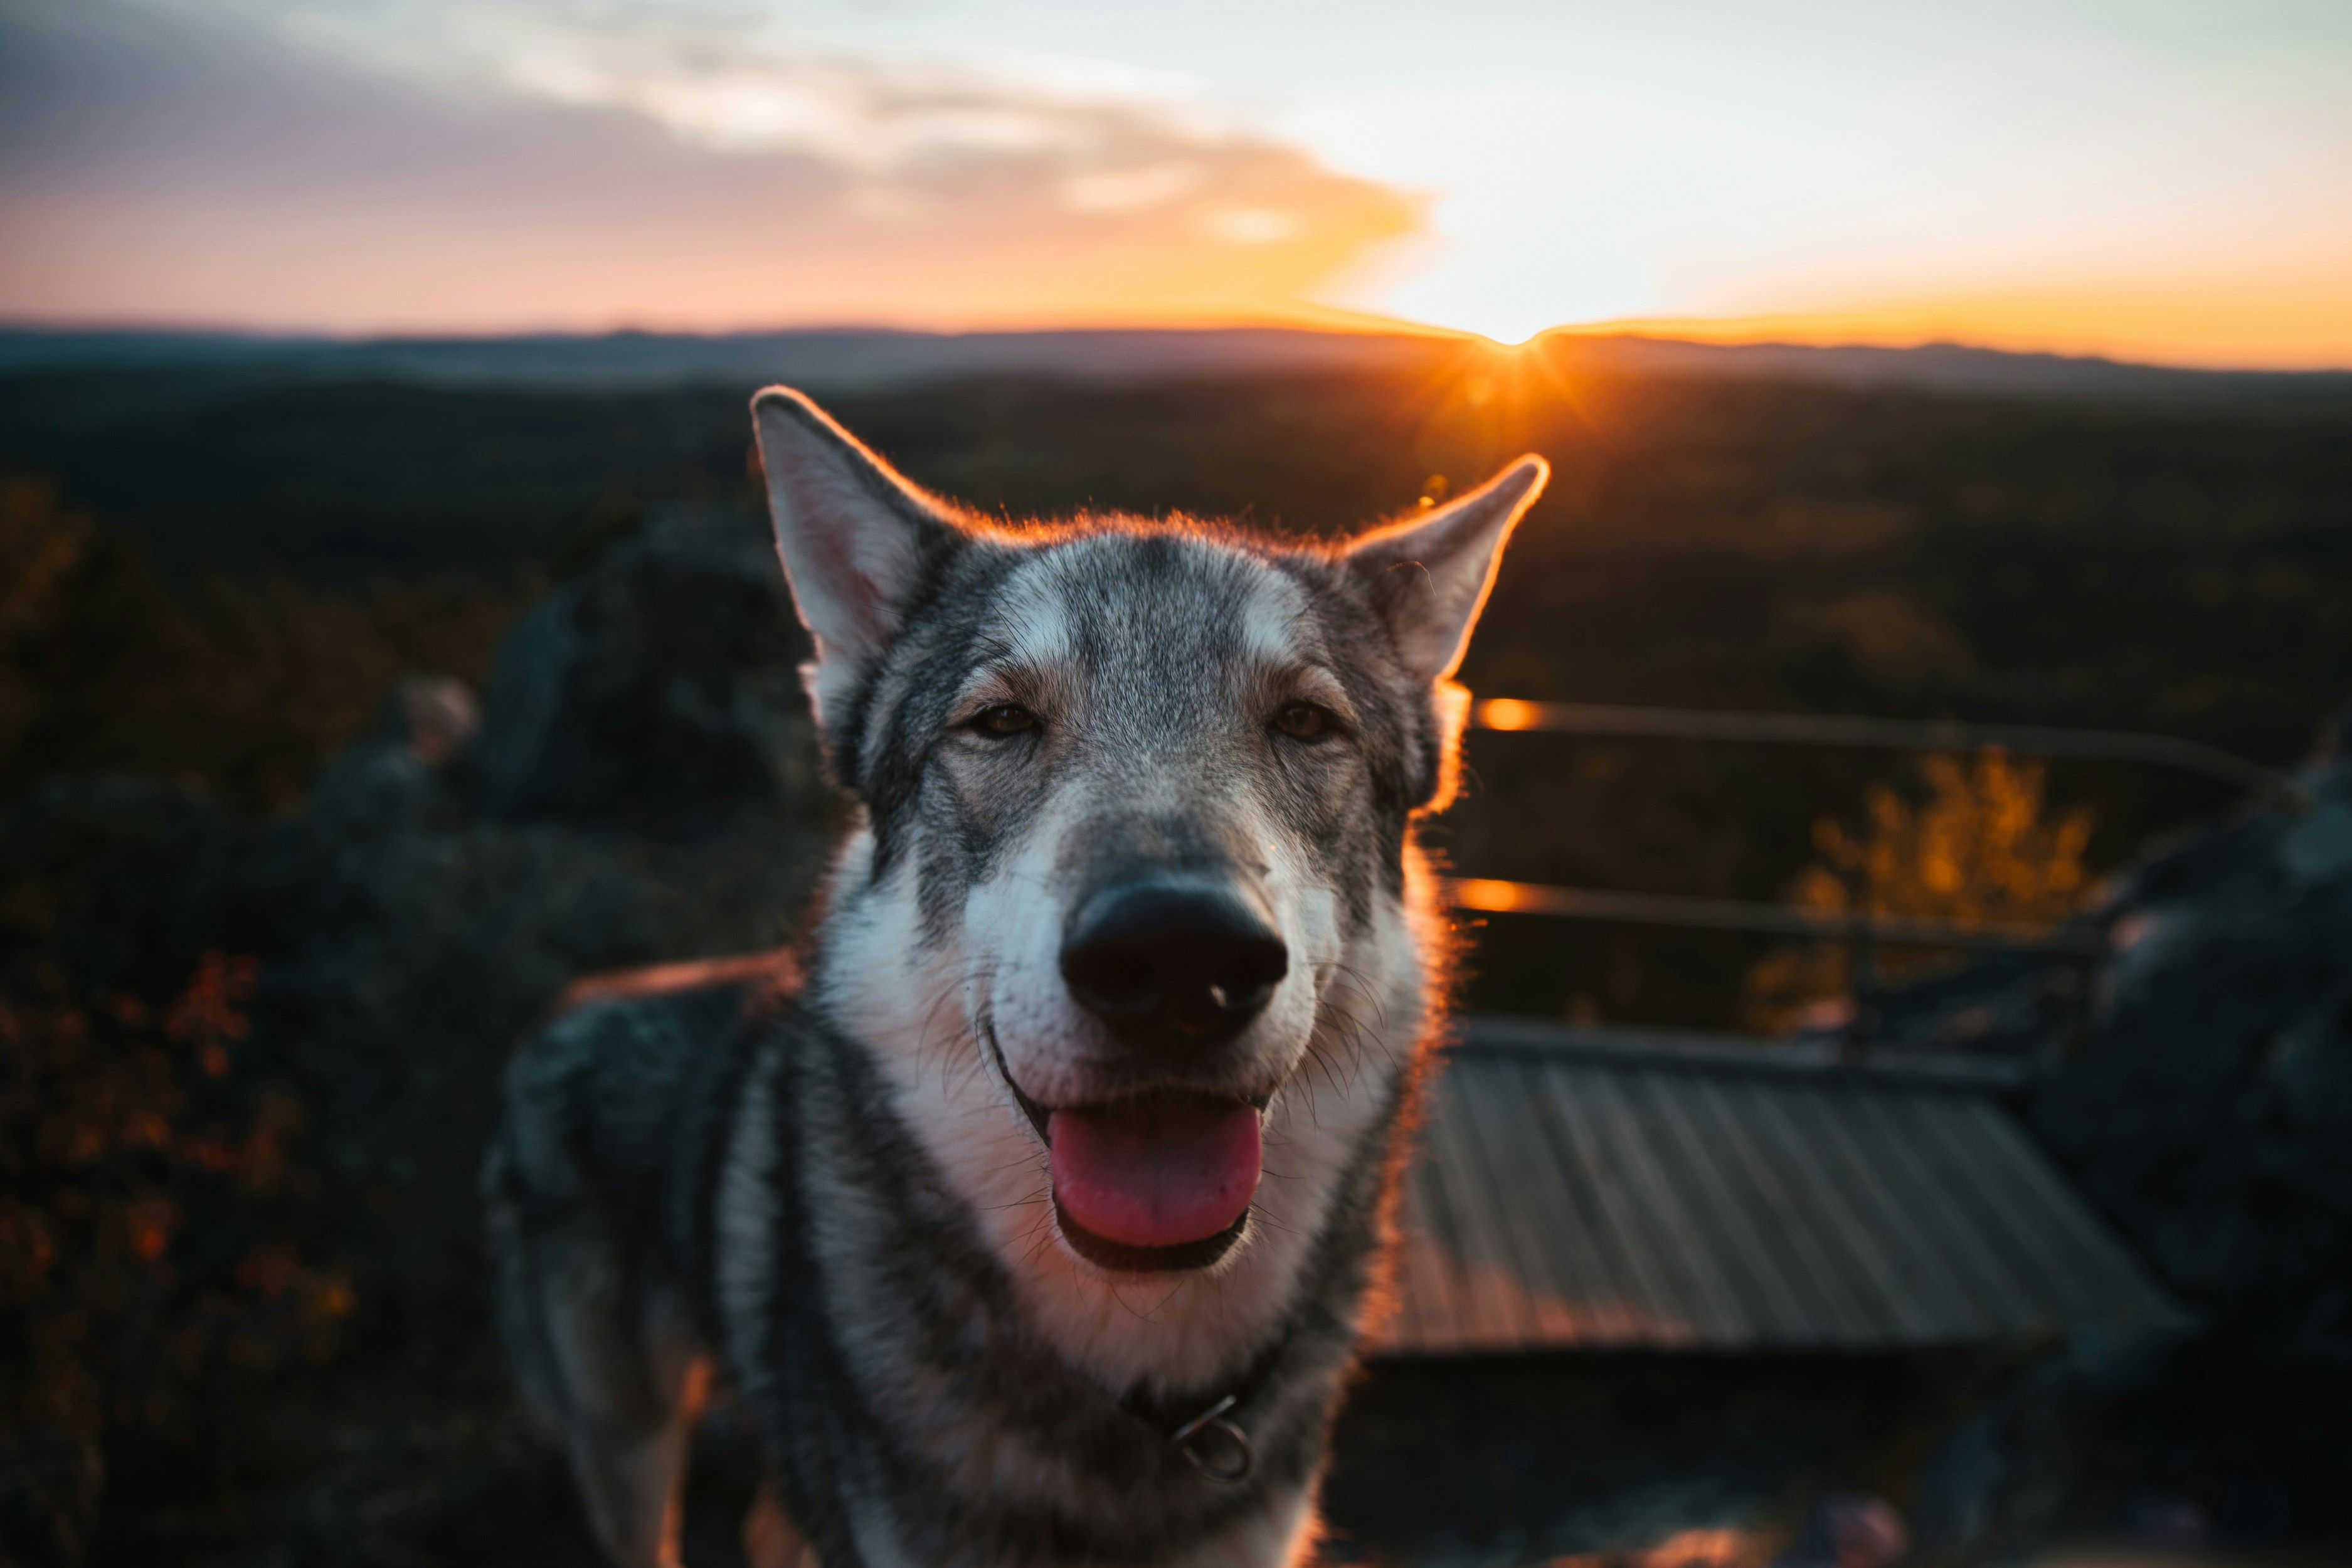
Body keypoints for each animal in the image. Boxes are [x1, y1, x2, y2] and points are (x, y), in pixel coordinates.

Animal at [482, 385, 1547, 1568]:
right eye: (1000, 722)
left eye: (1305, 723)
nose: (1179, 958)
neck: (1151, 1401)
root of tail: (566, 1013)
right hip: (628, 1449)